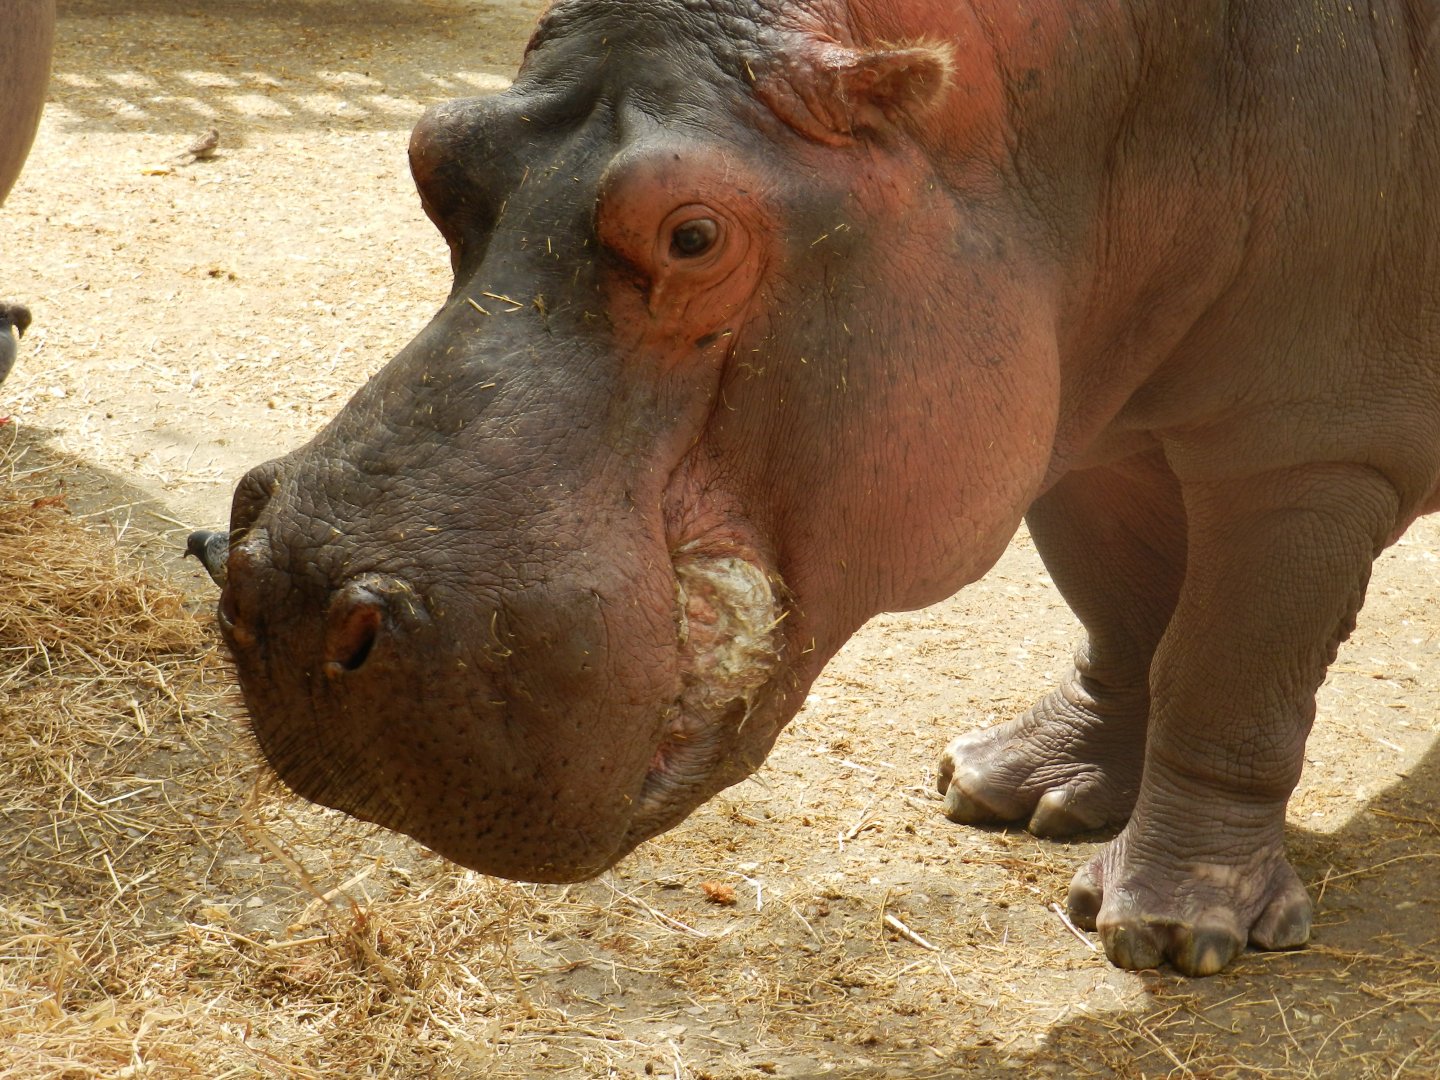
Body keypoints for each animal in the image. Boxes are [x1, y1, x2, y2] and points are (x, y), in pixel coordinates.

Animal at [217, 0, 1440, 976]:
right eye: (435, 154)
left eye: (692, 233)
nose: (292, 598)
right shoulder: (1077, 408)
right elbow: (1125, 616)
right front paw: (1014, 788)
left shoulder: (1306, 452)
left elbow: (1224, 673)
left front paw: (1170, 929)